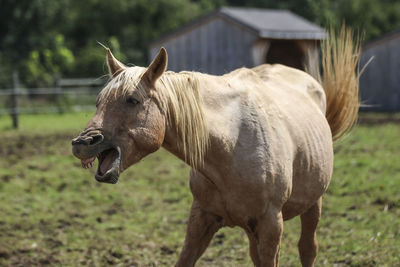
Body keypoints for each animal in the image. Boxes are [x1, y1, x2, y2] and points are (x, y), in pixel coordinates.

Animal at [71, 28, 360, 266]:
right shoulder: (202, 217)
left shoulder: (271, 224)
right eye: (98, 102)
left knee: (308, 249)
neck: (230, 145)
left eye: (132, 100)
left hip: (312, 204)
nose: (82, 143)